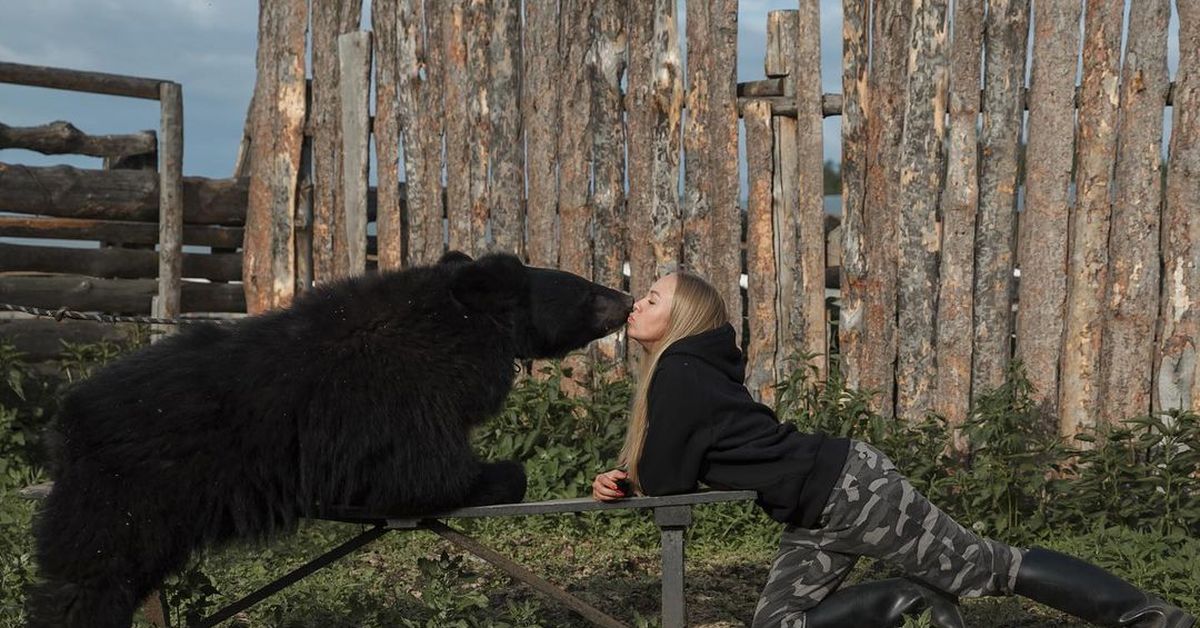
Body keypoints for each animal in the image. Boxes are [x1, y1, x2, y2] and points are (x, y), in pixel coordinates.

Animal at [23, 252, 633, 628]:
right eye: (585, 289)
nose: (628, 297)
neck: (459, 324)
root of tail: (64, 424)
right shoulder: (396, 398)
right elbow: (424, 474)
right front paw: (501, 473)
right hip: (125, 497)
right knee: (83, 582)